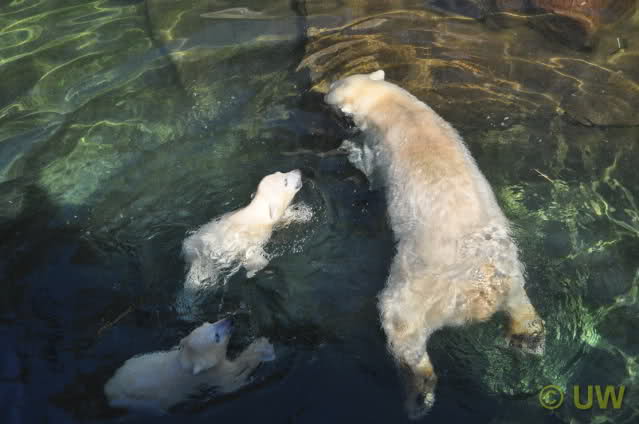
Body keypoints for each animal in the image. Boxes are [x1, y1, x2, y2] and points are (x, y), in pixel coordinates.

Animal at [104, 318, 275, 413]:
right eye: (216, 337)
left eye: (209, 323)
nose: (230, 320)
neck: (185, 363)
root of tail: (109, 389)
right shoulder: (210, 376)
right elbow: (233, 381)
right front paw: (263, 347)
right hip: (137, 401)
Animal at [177, 170, 304, 319]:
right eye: (285, 181)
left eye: (280, 172)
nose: (298, 171)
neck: (256, 212)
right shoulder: (257, 235)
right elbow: (253, 256)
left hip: (191, 244)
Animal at [325, 70, 545, 419]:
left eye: (331, 100)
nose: (323, 98)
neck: (396, 107)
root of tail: (478, 297)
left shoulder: (379, 150)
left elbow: (369, 169)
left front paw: (349, 152)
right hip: (509, 271)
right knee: (521, 303)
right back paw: (530, 339)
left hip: (419, 288)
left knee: (402, 327)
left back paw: (419, 394)